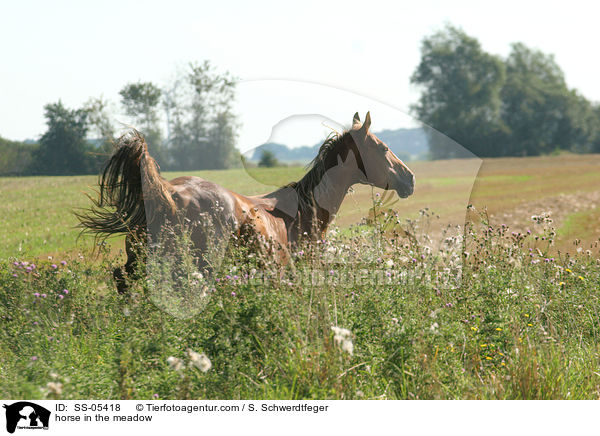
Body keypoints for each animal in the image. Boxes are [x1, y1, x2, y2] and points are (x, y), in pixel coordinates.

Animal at [77, 111, 414, 292]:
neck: (305, 208)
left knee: (125, 283)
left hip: (140, 262)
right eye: (383, 148)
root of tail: (169, 195)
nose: (409, 178)